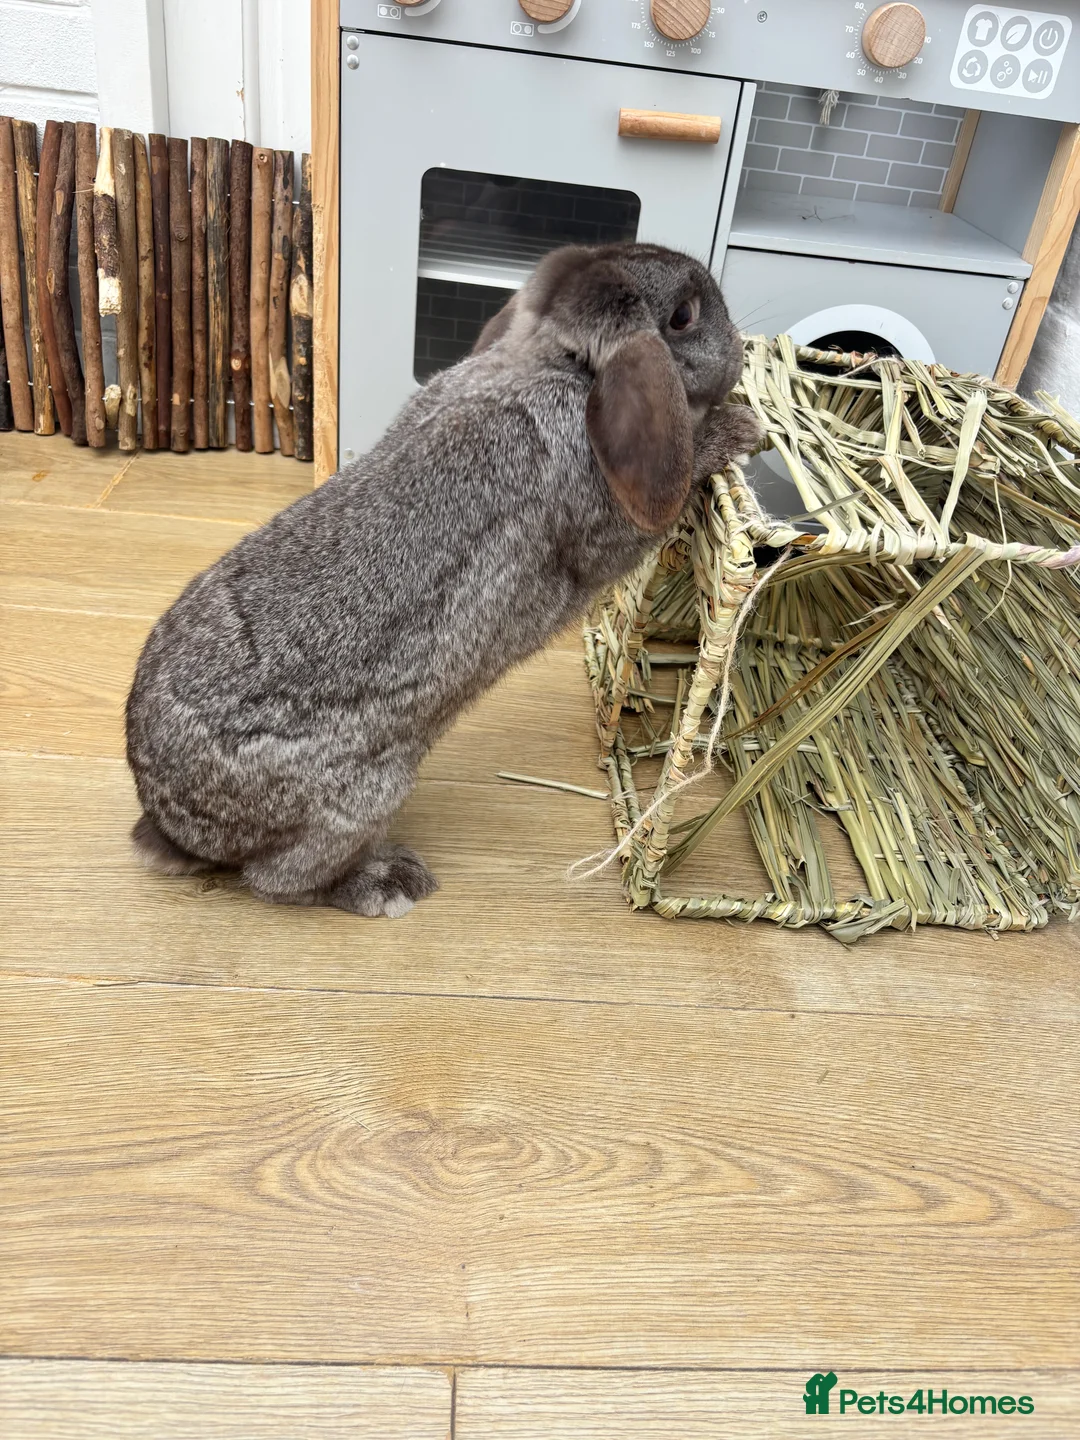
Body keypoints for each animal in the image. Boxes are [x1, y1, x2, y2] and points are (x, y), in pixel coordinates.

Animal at [125, 241, 762, 917]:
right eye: (684, 316)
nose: (740, 348)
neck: (559, 368)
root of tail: (176, 826)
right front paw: (741, 429)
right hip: (366, 796)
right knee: (278, 881)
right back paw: (390, 883)